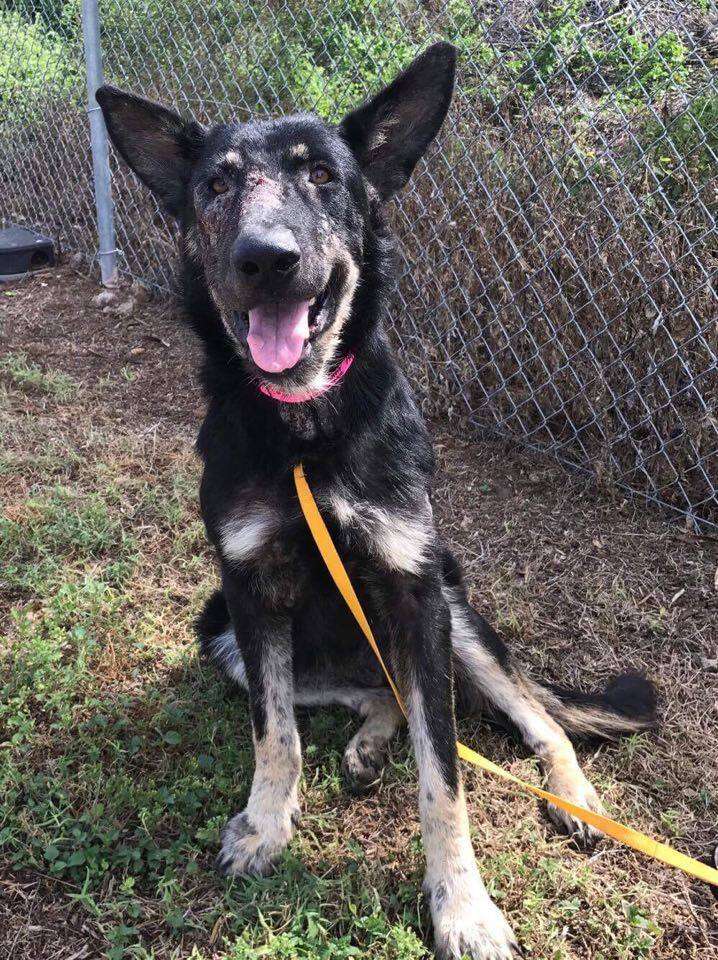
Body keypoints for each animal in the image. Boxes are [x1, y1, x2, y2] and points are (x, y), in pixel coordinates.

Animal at [95, 45, 660, 960]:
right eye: (216, 184)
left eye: (324, 175)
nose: (265, 258)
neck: (305, 426)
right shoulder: (250, 589)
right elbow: (276, 735)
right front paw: (265, 825)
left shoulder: (414, 592)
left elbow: (446, 776)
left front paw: (462, 906)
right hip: (220, 632)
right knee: (370, 696)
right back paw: (365, 741)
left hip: (457, 618)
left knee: (538, 720)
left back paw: (577, 799)